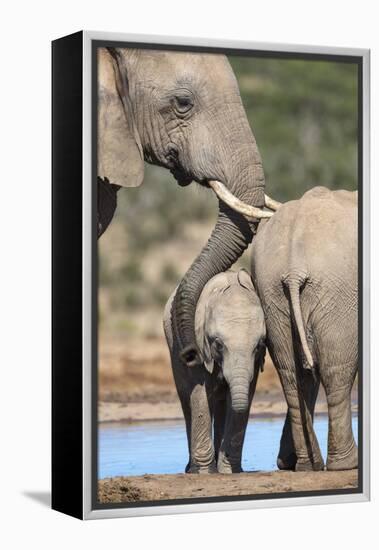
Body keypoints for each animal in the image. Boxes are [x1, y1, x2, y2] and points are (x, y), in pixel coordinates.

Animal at [164, 270, 268, 474]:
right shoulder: (198, 344)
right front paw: (205, 471)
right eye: (218, 344)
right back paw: (191, 468)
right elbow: (200, 395)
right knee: (187, 399)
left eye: (259, 346)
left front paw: (229, 470)